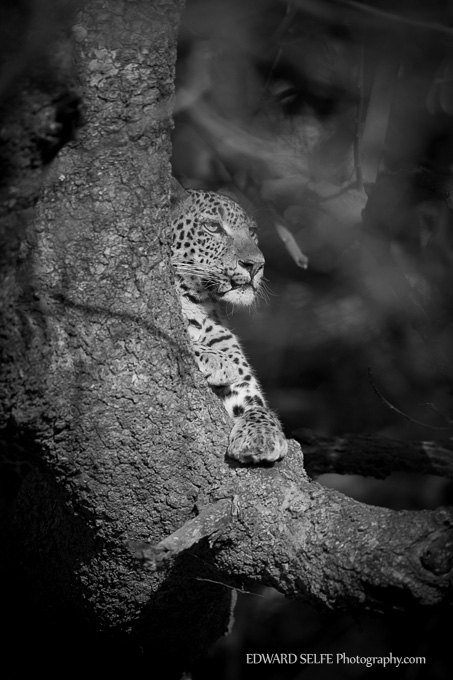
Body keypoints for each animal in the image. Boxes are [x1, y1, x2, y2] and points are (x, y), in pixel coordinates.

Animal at [171, 179, 288, 464]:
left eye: (252, 232)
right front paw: (219, 360)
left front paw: (261, 437)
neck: (198, 304)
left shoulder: (245, 391)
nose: (255, 265)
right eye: (212, 227)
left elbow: (261, 410)